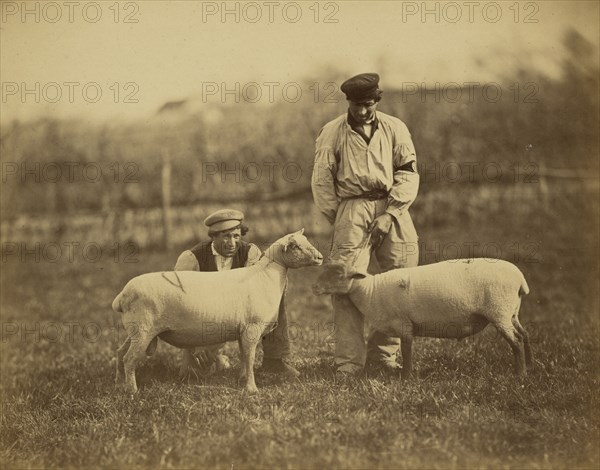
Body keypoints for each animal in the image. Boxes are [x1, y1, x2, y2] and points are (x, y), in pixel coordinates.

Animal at [114, 229, 326, 392]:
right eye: (295, 246)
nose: (320, 257)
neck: (266, 276)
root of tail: (121, 296)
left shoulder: (242, 331)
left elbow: (243, 357)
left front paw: (241, 380)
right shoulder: (252, 328)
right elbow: (250, 358)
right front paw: (252, 389)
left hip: (135, 331)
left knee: (120, 353)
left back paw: (120, 384)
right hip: (143, 330)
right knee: (129, 359)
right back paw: (132, 390)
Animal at [312, 258, 532, 378]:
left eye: (339, 274)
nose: (314, 287)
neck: (370, 291)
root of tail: (521, 279)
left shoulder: (404, 324)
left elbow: (407, 353)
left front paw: (406, 378)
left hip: (499, 311)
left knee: (516, 341)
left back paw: (520, 373)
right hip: (511, 311)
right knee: (525, 334)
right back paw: (531, 365)